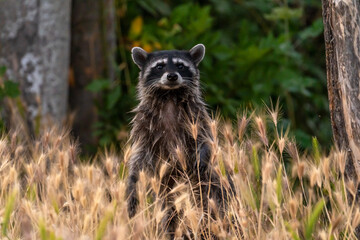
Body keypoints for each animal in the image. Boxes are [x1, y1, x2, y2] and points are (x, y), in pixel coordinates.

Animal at [126, 44, 233, 237]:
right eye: (159, 66)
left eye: (180, 66)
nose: (172, 76)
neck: (169, 96)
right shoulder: (143, 126)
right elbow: (139, 158)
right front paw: (133, 184)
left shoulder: (197, 118)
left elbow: (206, 141)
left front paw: (202, 155)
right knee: (168, 216)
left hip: (212, 189)